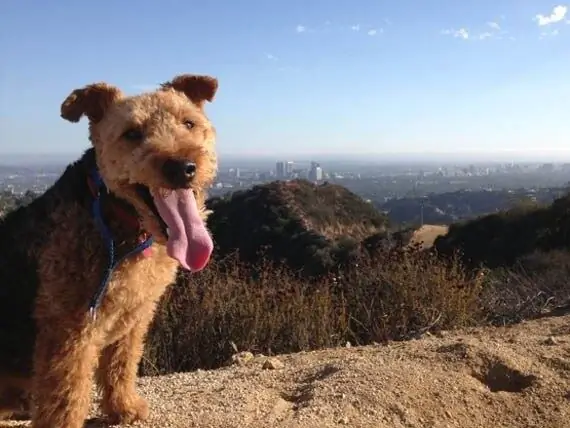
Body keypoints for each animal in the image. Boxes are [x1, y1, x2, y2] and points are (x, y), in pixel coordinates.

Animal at [0, 72, 217, 426]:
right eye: (132, 133)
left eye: (189, 123)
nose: (182, 166)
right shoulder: (71, 328)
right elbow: (67, 395)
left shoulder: (136, 314)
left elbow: (121, 365)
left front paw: (124, 407)